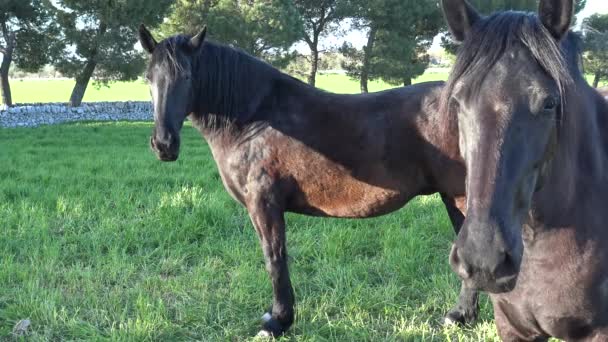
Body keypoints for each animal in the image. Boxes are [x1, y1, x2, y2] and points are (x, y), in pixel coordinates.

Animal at [138, 26, 476, 336]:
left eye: (186, 76)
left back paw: (459, 316)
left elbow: (274, 258)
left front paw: (278, 322)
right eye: (149, 78)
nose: (164, 144)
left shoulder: (264, 205)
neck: (254, 120)